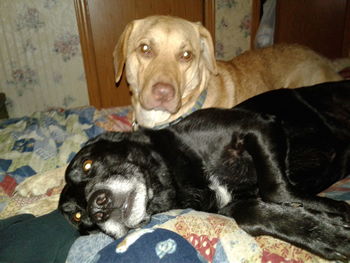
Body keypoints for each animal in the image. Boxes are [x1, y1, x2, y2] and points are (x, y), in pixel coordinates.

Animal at [58, 81, 350, 262]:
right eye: (77, 216)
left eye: (86, 164)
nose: (99, 207)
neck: (178, 173)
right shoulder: (230, 205)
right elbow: (250, 213)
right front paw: (327, 234)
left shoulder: (257, 126)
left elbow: (274, 189)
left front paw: (335, 217)